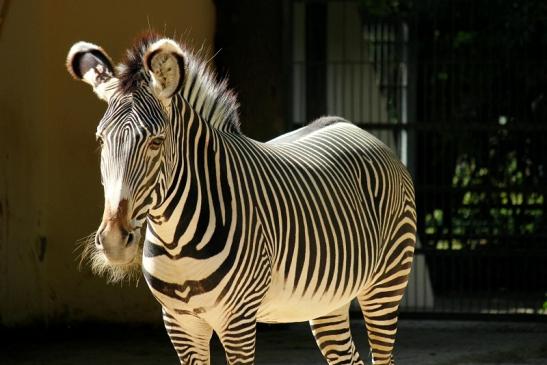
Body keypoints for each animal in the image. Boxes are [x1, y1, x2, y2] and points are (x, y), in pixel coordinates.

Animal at [66, 32, 418, 362]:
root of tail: (352, 126)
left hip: (385, 286)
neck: (175, 242)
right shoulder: (180, 324)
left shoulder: (237, 321)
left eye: (156, 142)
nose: (113, 240)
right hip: (329, 300)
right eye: (101, 140)